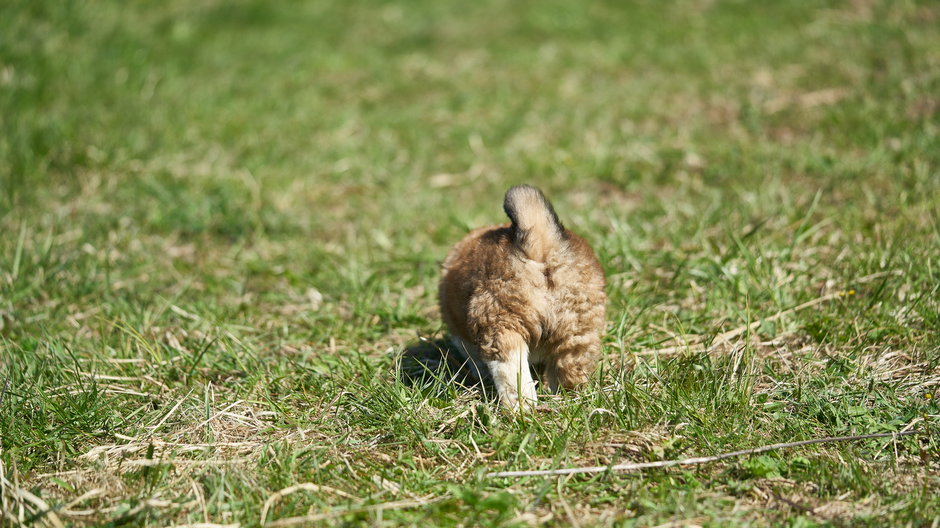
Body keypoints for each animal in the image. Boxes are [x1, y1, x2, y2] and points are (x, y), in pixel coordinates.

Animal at [442, 186, 608, 412]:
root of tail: (539, 245)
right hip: (578, 329)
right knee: (569, 366)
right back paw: (567, 399)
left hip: (501, 319)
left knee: (511, 370)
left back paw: (521, 409)